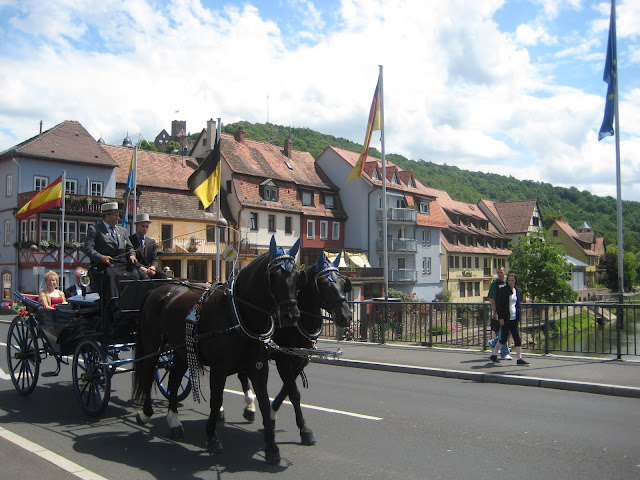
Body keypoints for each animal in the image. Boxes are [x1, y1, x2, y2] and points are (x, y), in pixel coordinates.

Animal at [132, 237, 304, 464]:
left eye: (298, 276)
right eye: (273, 275)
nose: (291, 315)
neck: (238, 313)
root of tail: (157, 291)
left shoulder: (258, 368)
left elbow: (265, 403)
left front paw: (271, 447)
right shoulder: (219, 368)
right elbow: (216, 400)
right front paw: (212, 437)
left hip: (181, 352)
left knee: (174, 380)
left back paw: (174, 420)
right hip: (152, 343)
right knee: (147, 372)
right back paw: (146, 413)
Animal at [234, 253, 352, 444]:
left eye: (343, 283)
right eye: (324, 284)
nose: (346, 316)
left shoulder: (301, 358)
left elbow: (286, 390)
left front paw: (272, 414)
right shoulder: (283, 358)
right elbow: (294, 392)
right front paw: (304, 430)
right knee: (241, 374)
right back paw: (245, 407)